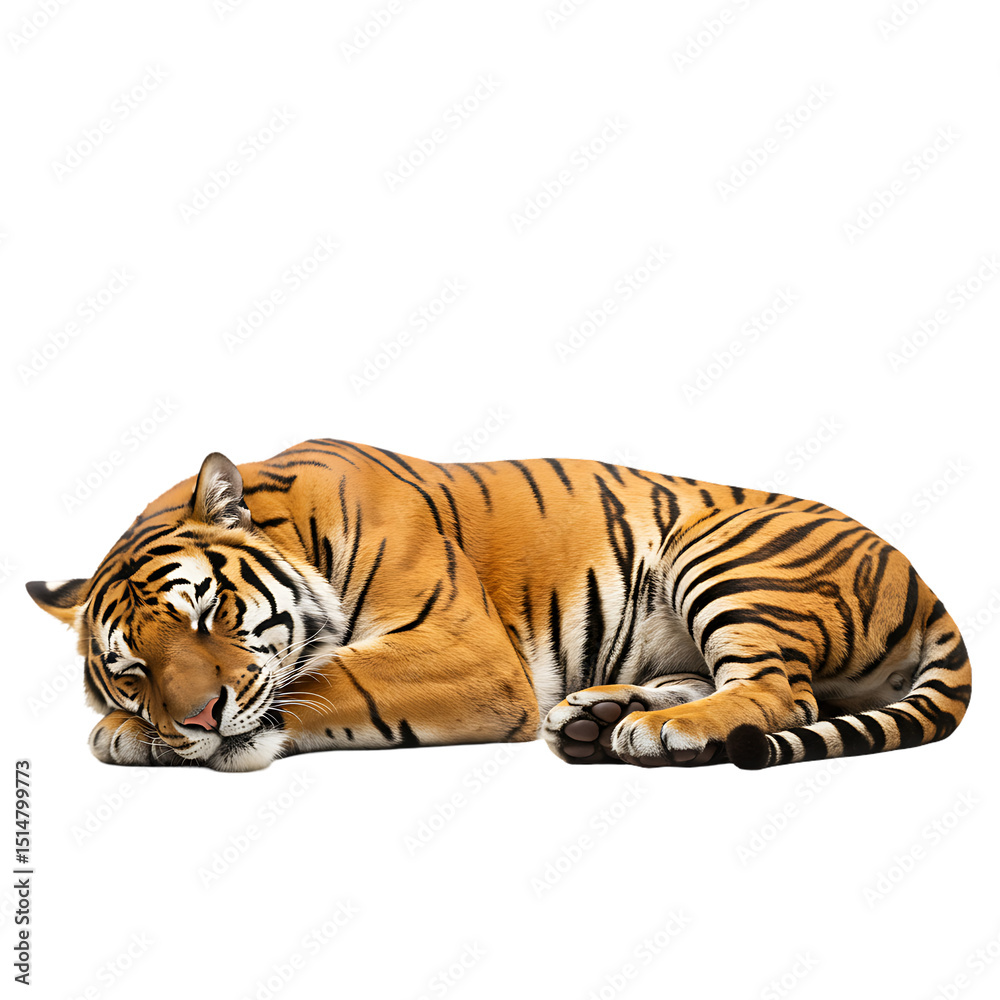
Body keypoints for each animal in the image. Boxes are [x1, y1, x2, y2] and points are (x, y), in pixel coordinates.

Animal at [26, 440, 971, 772]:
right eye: (131, 669)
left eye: (206, 613)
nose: (196, 717)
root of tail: (919, 575)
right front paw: (129, 731)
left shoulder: (464, 648)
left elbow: (329, 678)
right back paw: (598, 716)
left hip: (723, 550)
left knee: (783, 690)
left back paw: (662, 729)